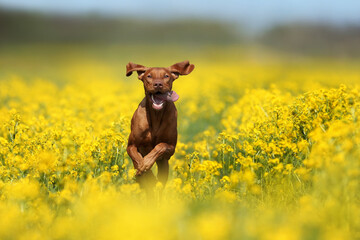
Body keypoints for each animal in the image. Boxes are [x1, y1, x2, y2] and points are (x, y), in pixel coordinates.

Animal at [126, 60, 194, 188]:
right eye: (149, 76)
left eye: (166, 76)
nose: (158, 84)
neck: (156, 116)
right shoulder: (131, 146)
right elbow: (137, 160)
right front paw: (143, 168)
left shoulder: (170, 149)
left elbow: (160, 146)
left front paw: (146, 164)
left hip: (164, 165)